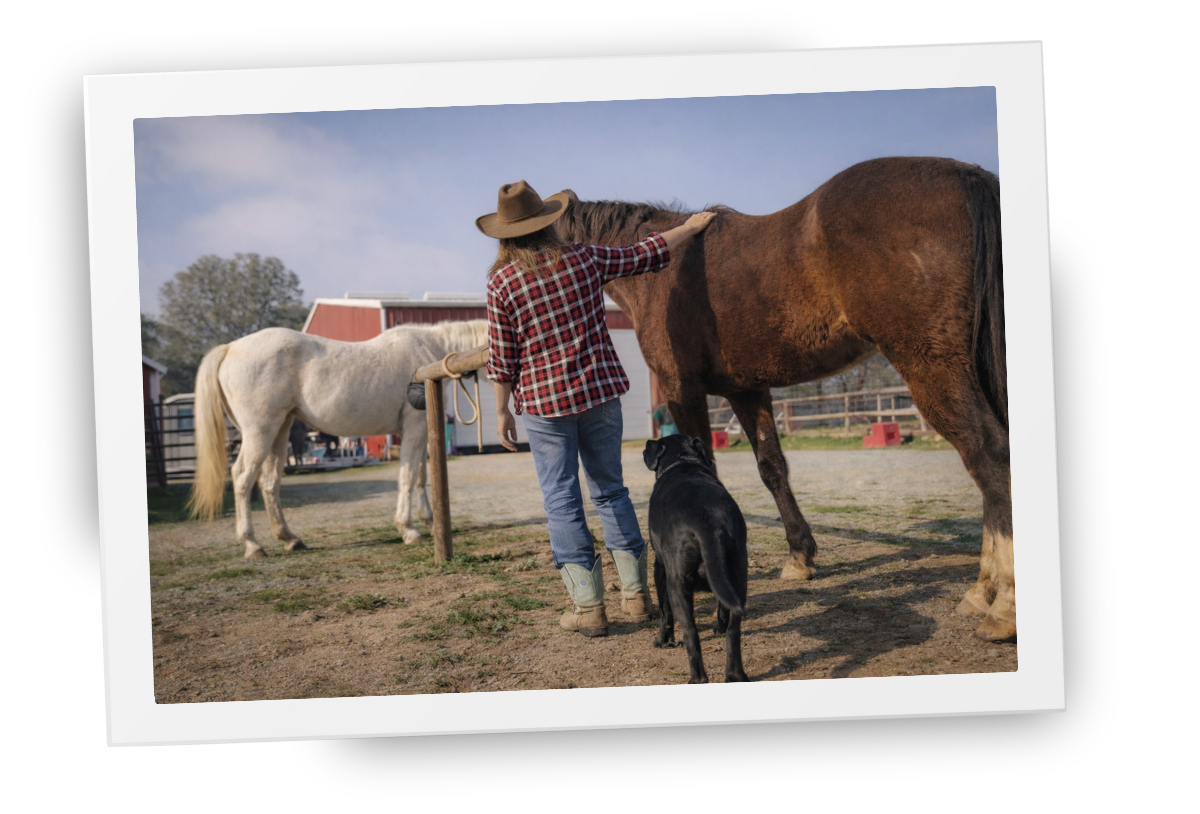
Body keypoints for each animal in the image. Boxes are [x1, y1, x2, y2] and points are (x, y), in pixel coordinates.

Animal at [187, 319, 489, 558]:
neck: (428, 356)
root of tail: (229, 348)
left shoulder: (419, 430)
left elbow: (421, 476)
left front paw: (429, 520)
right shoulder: (413, 429)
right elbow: (408, 476)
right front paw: (409, 530)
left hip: (279, 429)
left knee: (270, 481)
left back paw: (290, 538)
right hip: (259, 431)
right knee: (242, 476)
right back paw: (252, 544)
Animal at [556, 156, 1014, 642]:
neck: (663, 271)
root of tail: (965, 174)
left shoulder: (683, 390)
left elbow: (708, 467)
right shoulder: (746, 390)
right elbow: (772, 467)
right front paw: (800, 556)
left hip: (932, 364)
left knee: (988, 454)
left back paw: (1001, 605)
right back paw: (982, 591)